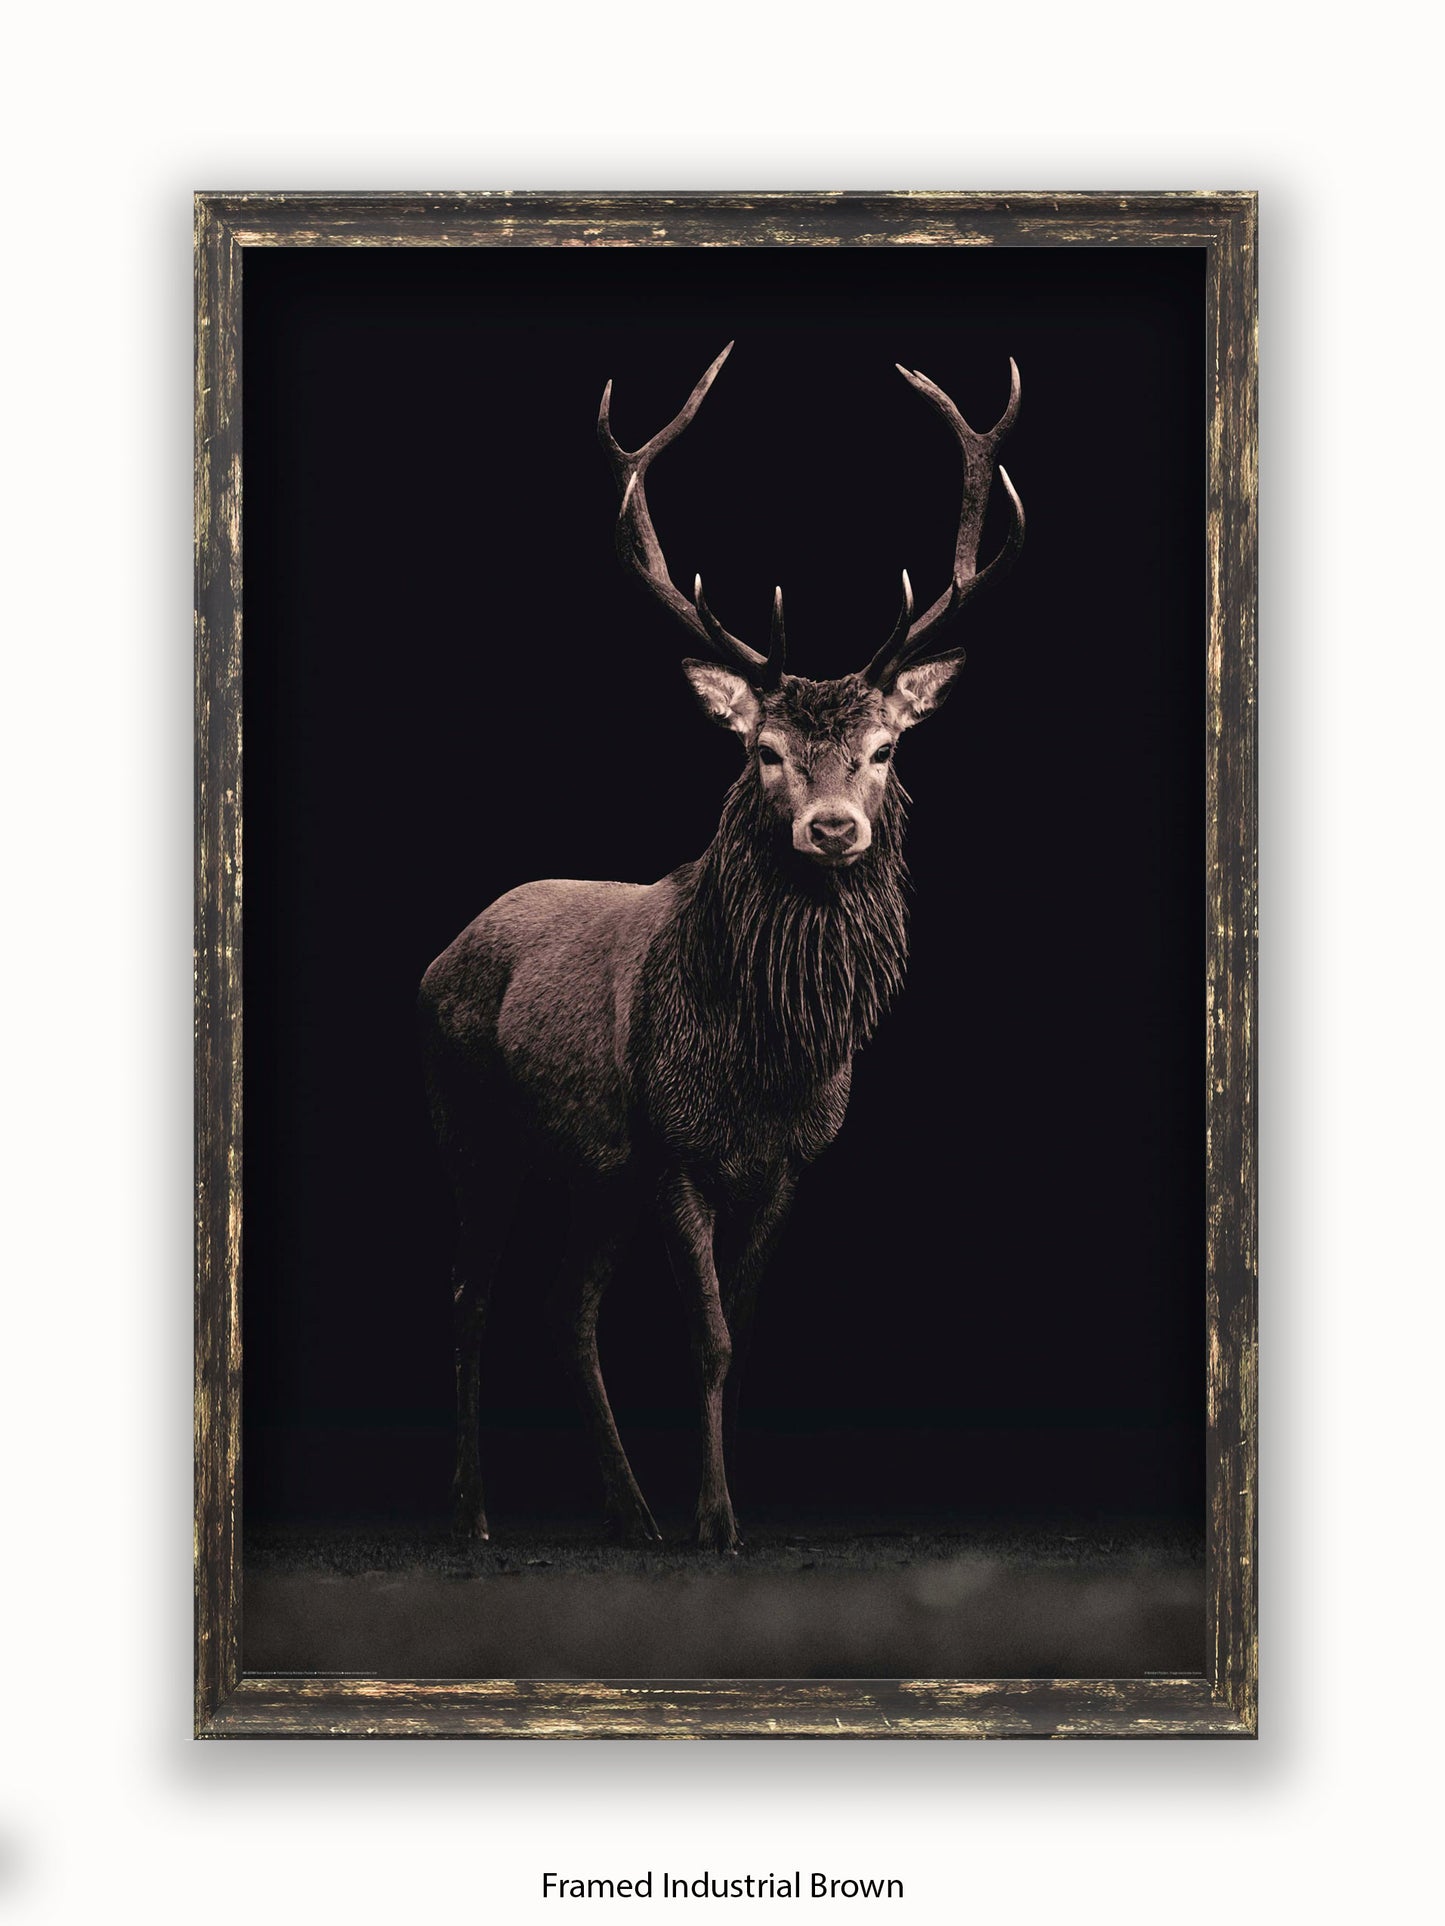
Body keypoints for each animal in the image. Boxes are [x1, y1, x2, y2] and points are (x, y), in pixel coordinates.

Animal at [419, 342, 1024, 1552]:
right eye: (764, 751)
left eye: (884, 749)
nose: (831, 829)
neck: (764, 1064)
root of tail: (438, 957)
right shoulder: (673, 1149)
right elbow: (703, 1334)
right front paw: (714, 1519)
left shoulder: (785, 1163)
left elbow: (739, 1342)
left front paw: (718, 1501)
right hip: (474, 1122)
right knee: (471, 1295)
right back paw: (475, 1512)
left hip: (591, 1166)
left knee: (565, 1305)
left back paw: (627, 1509)